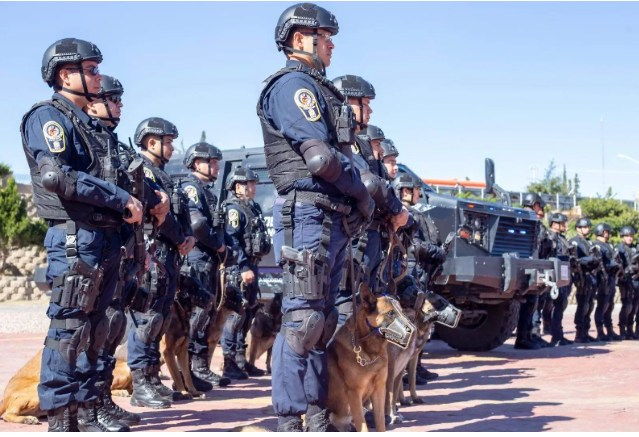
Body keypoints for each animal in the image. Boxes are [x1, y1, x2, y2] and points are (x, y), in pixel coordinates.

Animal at [327, 283, 415, 432]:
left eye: (402, 311)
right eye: (391, 313)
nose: (413, 331)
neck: (370, 353)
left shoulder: (379, 390)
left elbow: (381, 423)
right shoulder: (355, 395)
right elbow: (364, 427)